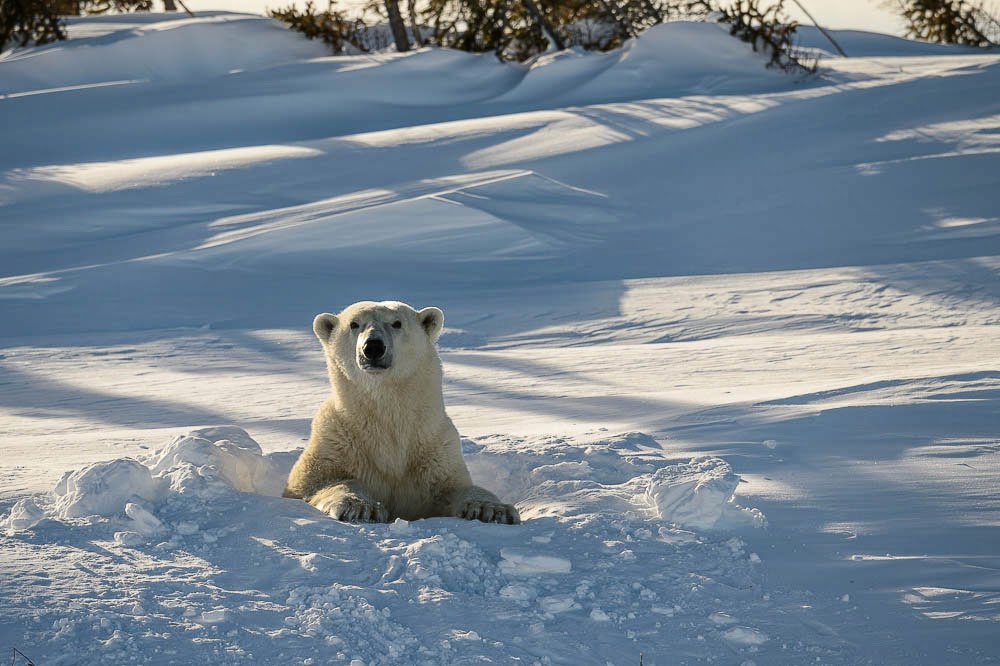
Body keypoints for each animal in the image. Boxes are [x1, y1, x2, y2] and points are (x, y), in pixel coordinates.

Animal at [280, 300, 520, 524]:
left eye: (396, 323)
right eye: (354, 324)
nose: (373, 347)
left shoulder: (433, 445)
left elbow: (453, 487)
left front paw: (492, 509)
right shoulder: (337, 440)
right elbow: (319, 482)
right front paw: (362, 507)